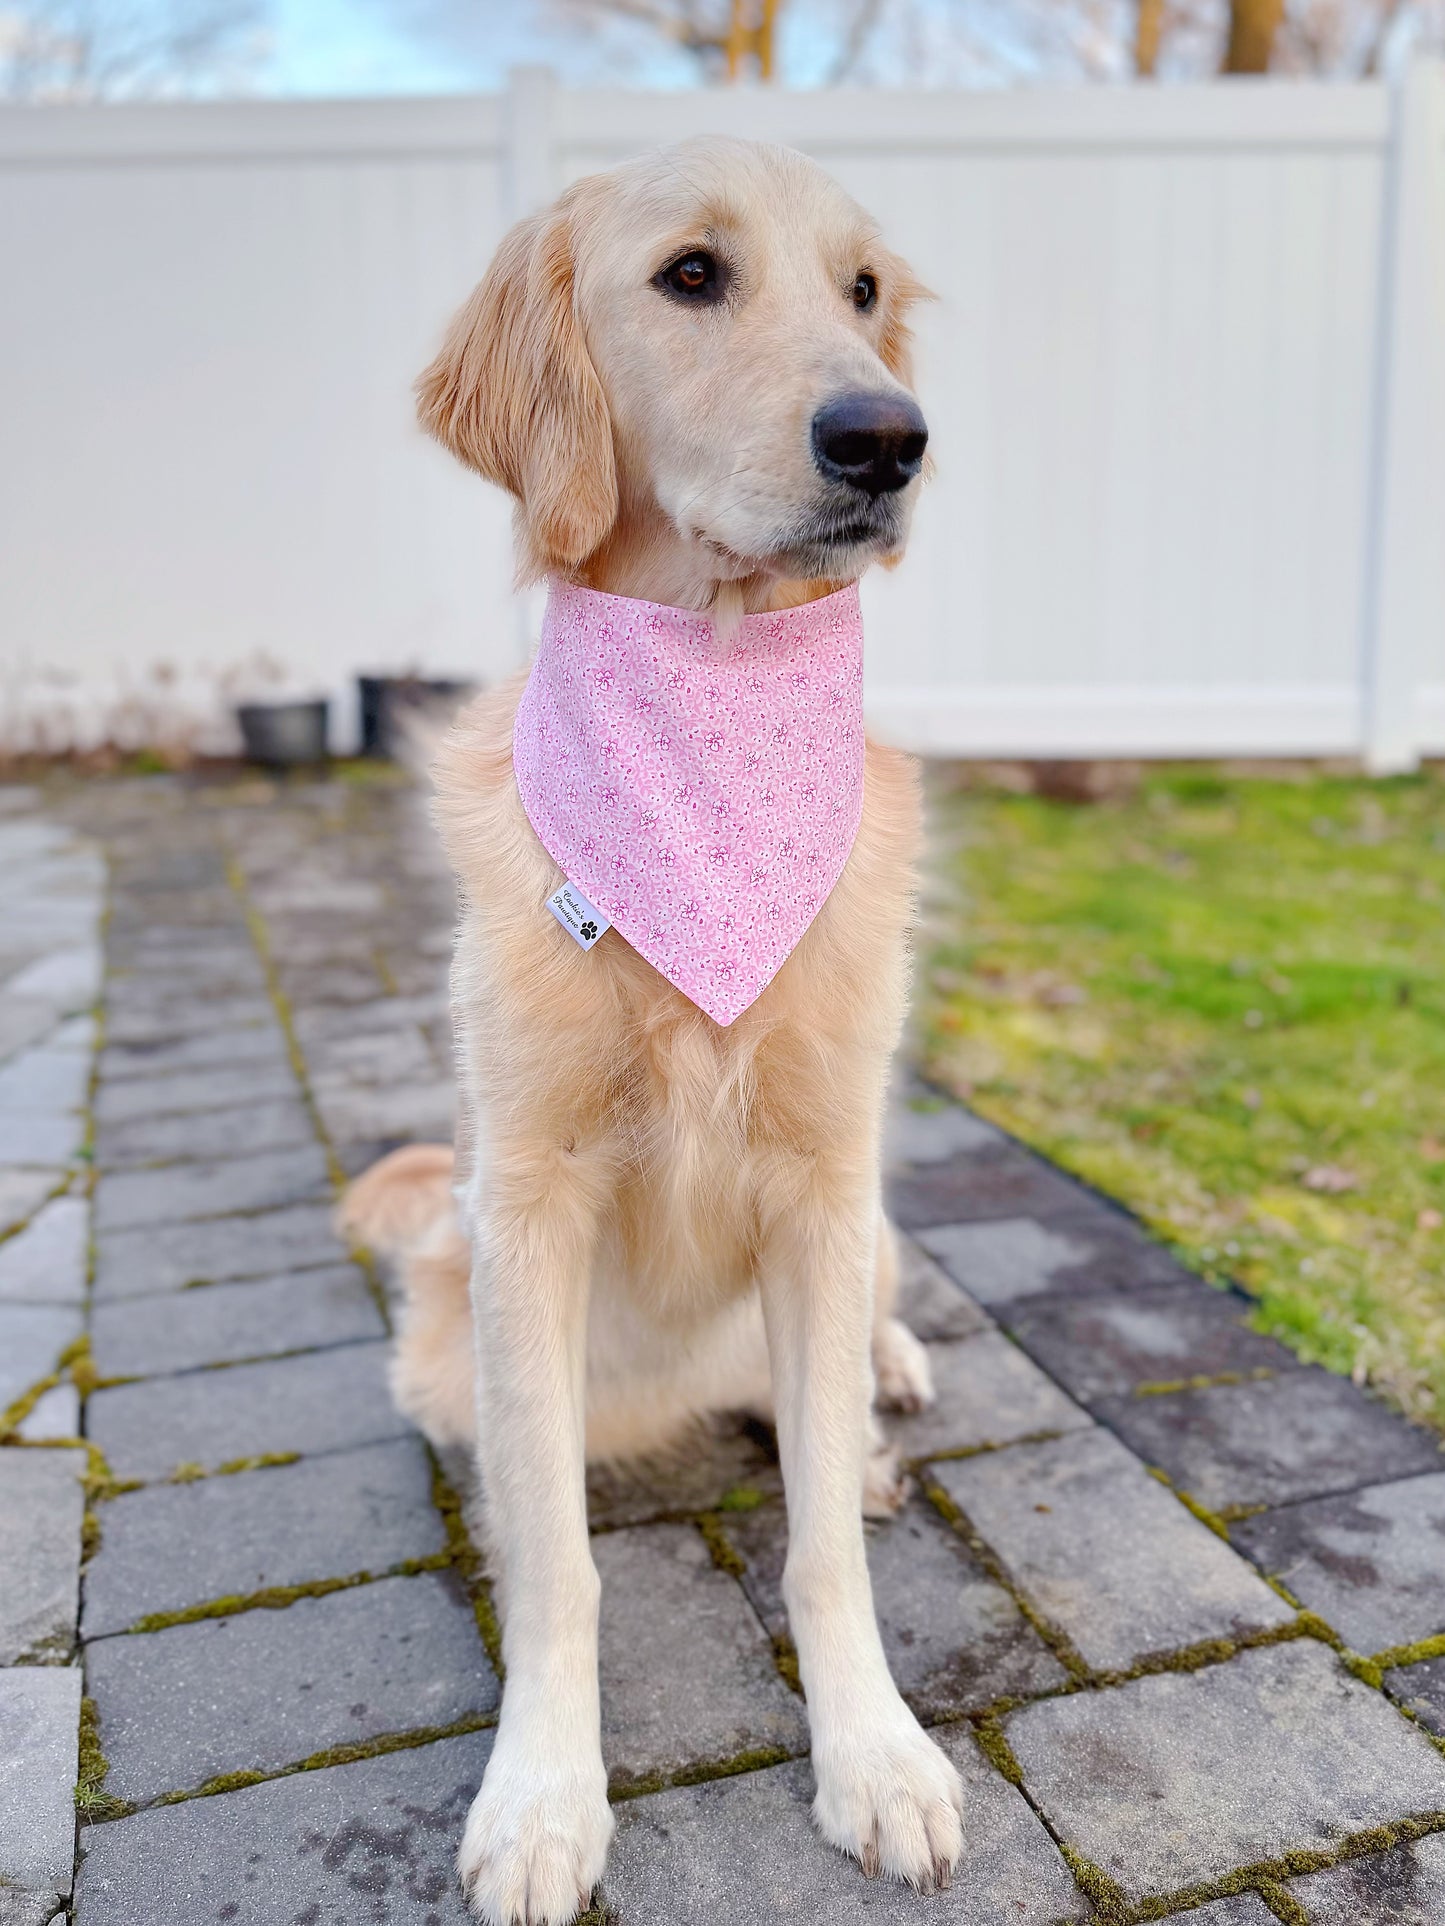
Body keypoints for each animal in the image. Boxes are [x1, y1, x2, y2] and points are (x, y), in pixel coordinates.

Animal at [341, 135, 967, 1926]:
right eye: (692, 275)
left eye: (863, 290)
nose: (886, 438)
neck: (715, 688)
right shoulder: (526, 1203)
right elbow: (552, 1561)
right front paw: (543, 1797)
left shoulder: (826, 1184)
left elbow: (822, 1546)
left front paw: (875, 1754)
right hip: (452, 1332)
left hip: (863, 1227)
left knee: (854, 1364)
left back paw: (887, 1395)